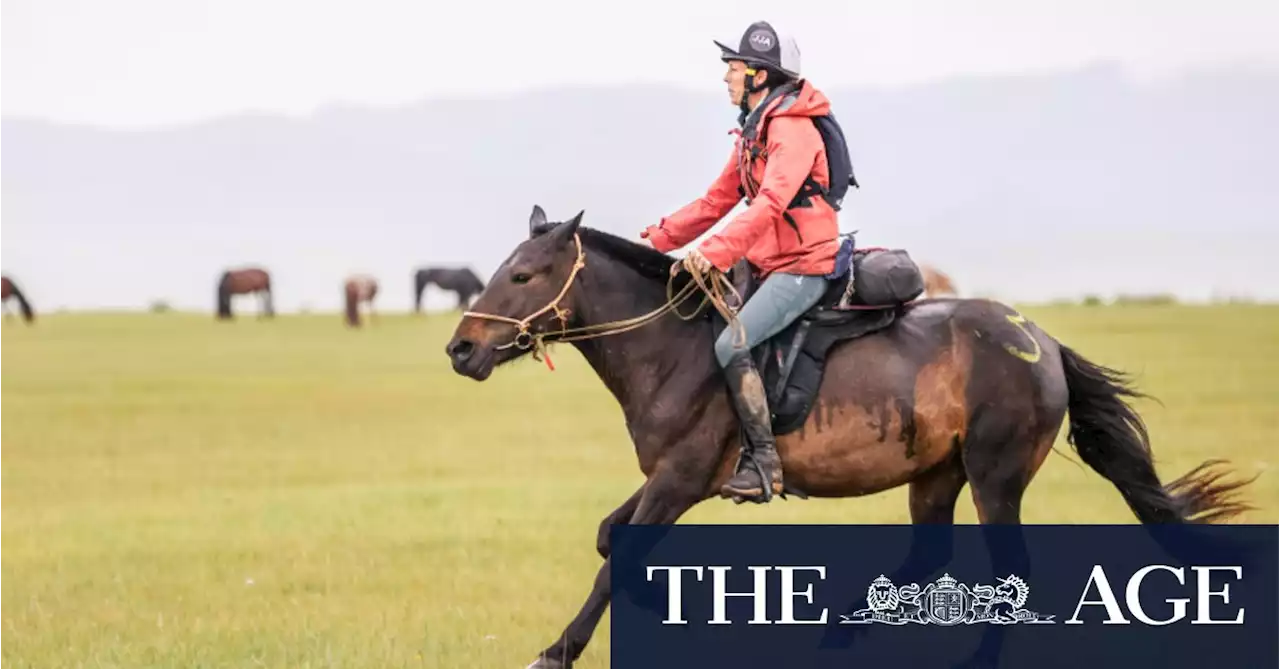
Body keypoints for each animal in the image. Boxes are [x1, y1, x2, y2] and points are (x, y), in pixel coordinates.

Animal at [445, 205, 1254, 669]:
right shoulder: (669, 476)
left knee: (1008, 572)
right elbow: (611, 541)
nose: (460, 349)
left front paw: (556, 652)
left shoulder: (681, 479)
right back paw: (842, 631)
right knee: (930, 556)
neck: (671, 344)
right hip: (936, 475)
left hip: (994, 476)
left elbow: (617, 561)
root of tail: (1043, 341)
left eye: (523, 275)